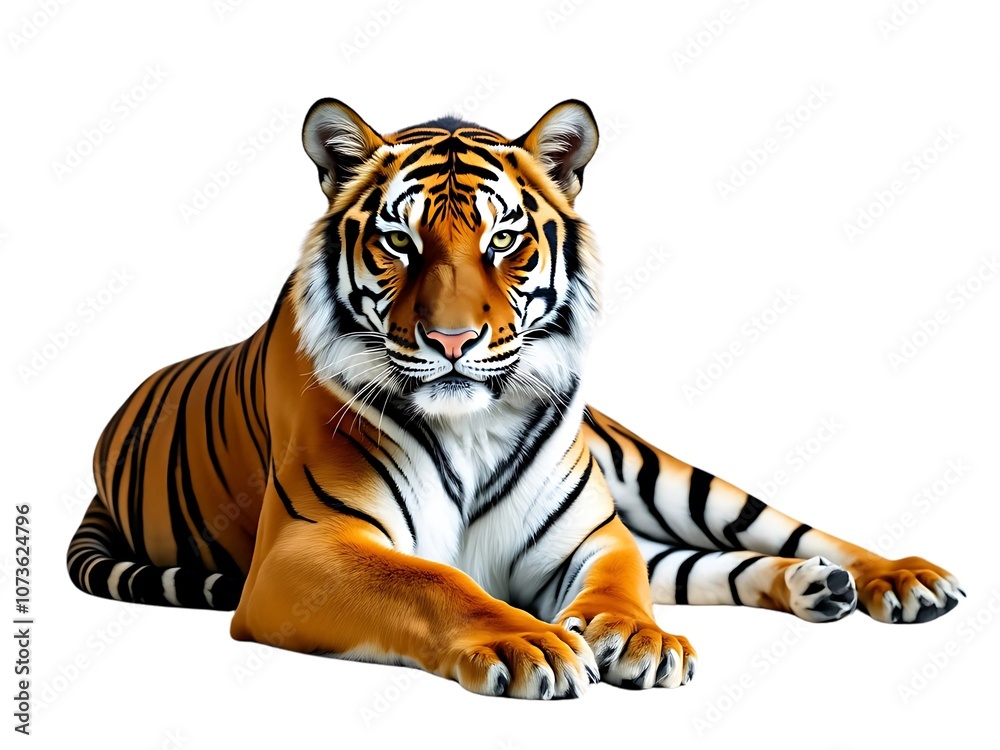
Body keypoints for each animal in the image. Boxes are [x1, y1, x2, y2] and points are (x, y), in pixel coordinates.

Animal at [67, 98, 965, 699]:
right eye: (400, 242)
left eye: (504, 240)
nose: (452, 341)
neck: (473, 425)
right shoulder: (303, 550)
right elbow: (435, 581)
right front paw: (529, 646)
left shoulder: (592, 535)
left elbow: (623, 583)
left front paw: (637, 638)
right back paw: (817, 587)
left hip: (656, 474)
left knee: (770, 532)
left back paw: (891, 580)